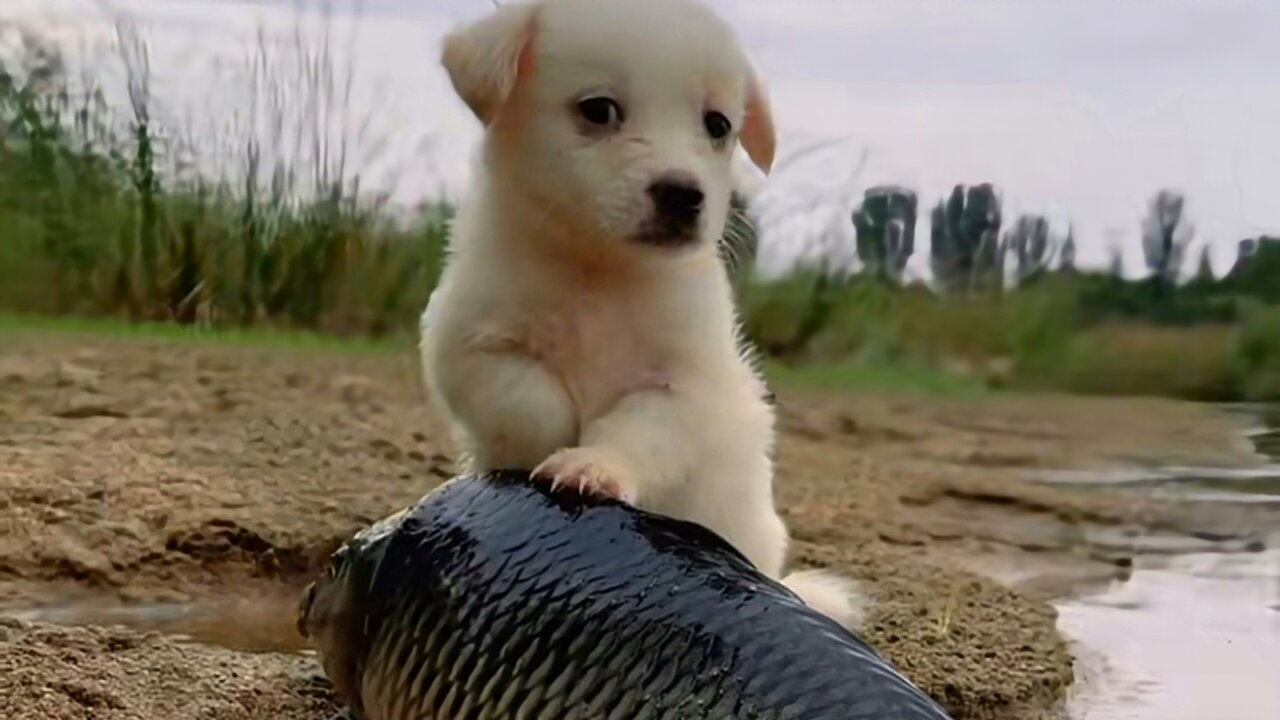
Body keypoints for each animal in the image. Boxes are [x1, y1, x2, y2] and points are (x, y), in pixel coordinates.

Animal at [424, 0, 865, 627]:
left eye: (718, 125)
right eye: (598, 109)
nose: (683, 194)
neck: (601, 270)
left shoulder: (680, 388)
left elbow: (631, 432)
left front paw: (588, 465)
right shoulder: (467, 344)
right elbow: (528, 399)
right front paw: (546, 443)